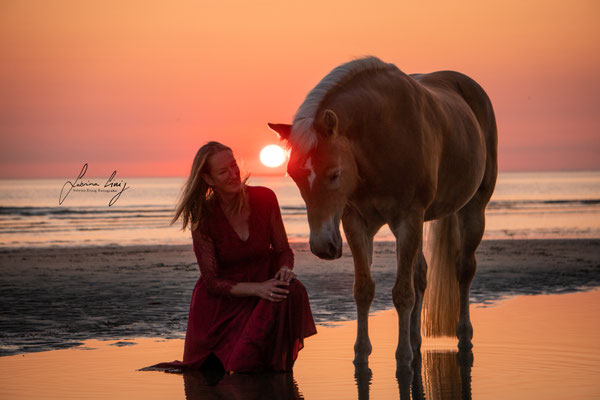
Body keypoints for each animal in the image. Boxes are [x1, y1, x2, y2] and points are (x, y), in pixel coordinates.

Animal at [270, 54, 500, 368]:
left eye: (334, 173)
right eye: (293, 175)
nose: (321, 246)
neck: (382, 136)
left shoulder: (409, 219)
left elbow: (402, 293)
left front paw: (402, 359)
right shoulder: (356, 223)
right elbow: (364, 289)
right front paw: (361, 355)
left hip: (473, 209)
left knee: (463, 270)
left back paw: (463, 337)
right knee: (421, 277)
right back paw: (416, 341)